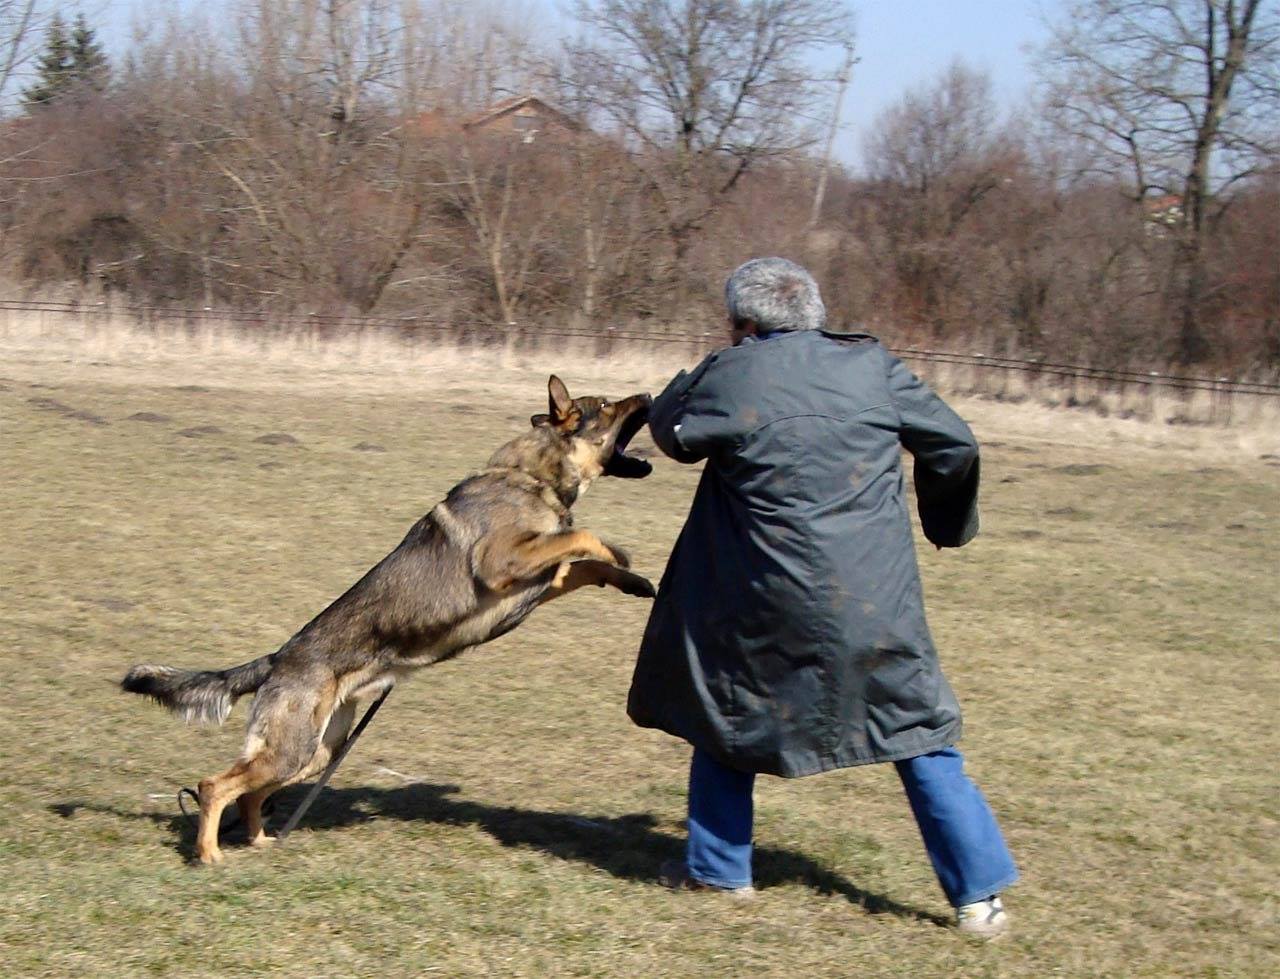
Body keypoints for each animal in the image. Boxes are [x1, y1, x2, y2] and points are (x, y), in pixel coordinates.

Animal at [124, 376, 655, 865]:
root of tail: (278, 659)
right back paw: (210, 854)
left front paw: (635, 581)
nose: (650, 395)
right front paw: (620, 552)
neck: (532, 475)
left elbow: (586, 563)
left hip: (315, 752)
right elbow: (584, 537)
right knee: (214, 784)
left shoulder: (542, 576)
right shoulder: (503, 561)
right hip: (292, 749)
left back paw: (259, 842)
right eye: (607, 405)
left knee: (251, 793)